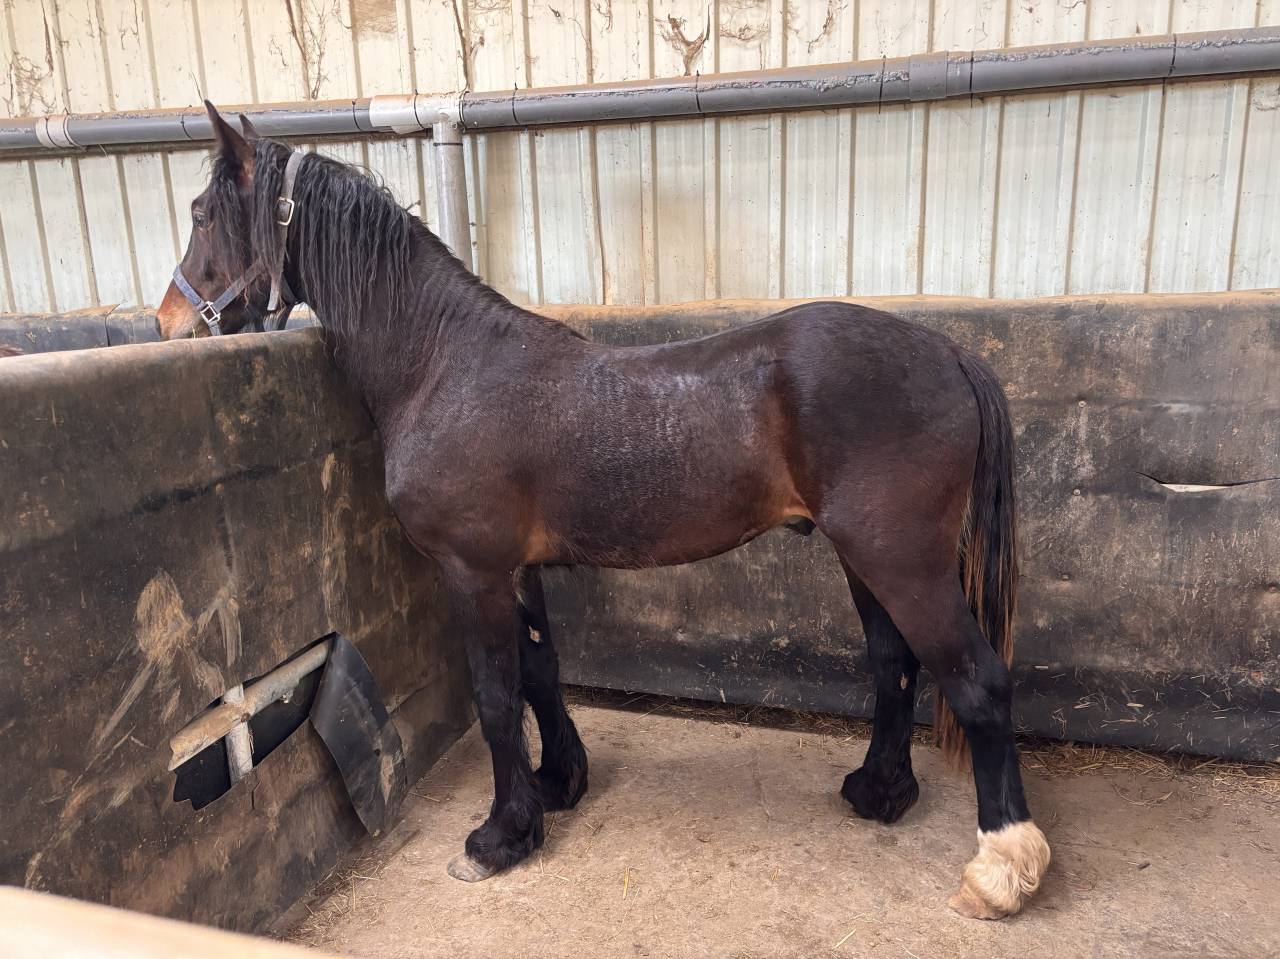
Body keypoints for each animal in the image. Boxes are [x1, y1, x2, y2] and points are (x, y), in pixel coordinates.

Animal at [157, 102, 1050, 920]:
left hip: (901, 559)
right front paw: (557, 784)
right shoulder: (515, 569)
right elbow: (539, 671)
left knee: (975, 680)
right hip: (866, 559)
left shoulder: (471, 569)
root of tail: (948, 351)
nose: (166, 320)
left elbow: (494, 694)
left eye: (201, 213)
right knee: (895, 664)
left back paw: (1001, 867)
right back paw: (879, 790)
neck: (445, 364)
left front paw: (500, 836)